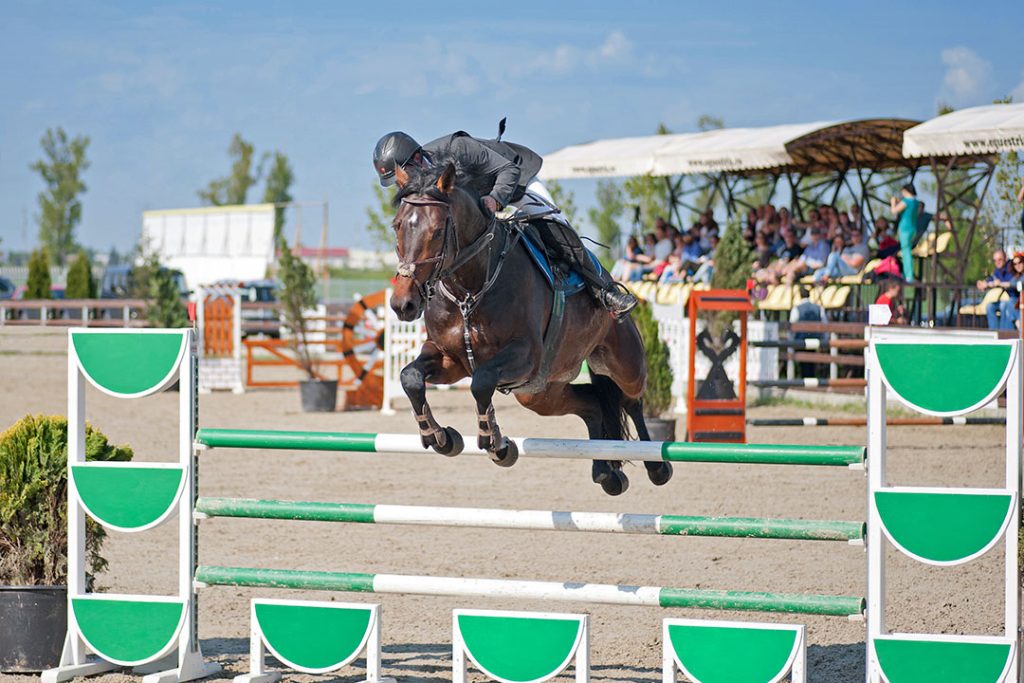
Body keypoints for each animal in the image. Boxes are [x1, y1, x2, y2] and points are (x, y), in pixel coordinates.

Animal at [385, 163, 671, 499]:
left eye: (438, 231)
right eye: (397, 226)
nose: (403, 304)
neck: (469, 289)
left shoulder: (524, 356)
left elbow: (481, 383)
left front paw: (495, 444)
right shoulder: (449, 359)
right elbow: (410, 377)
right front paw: (440, 437)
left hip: (623, 362)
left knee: (632, 401)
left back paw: (657, 467)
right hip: (539, 392)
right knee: (593, 404)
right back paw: (607, 474)